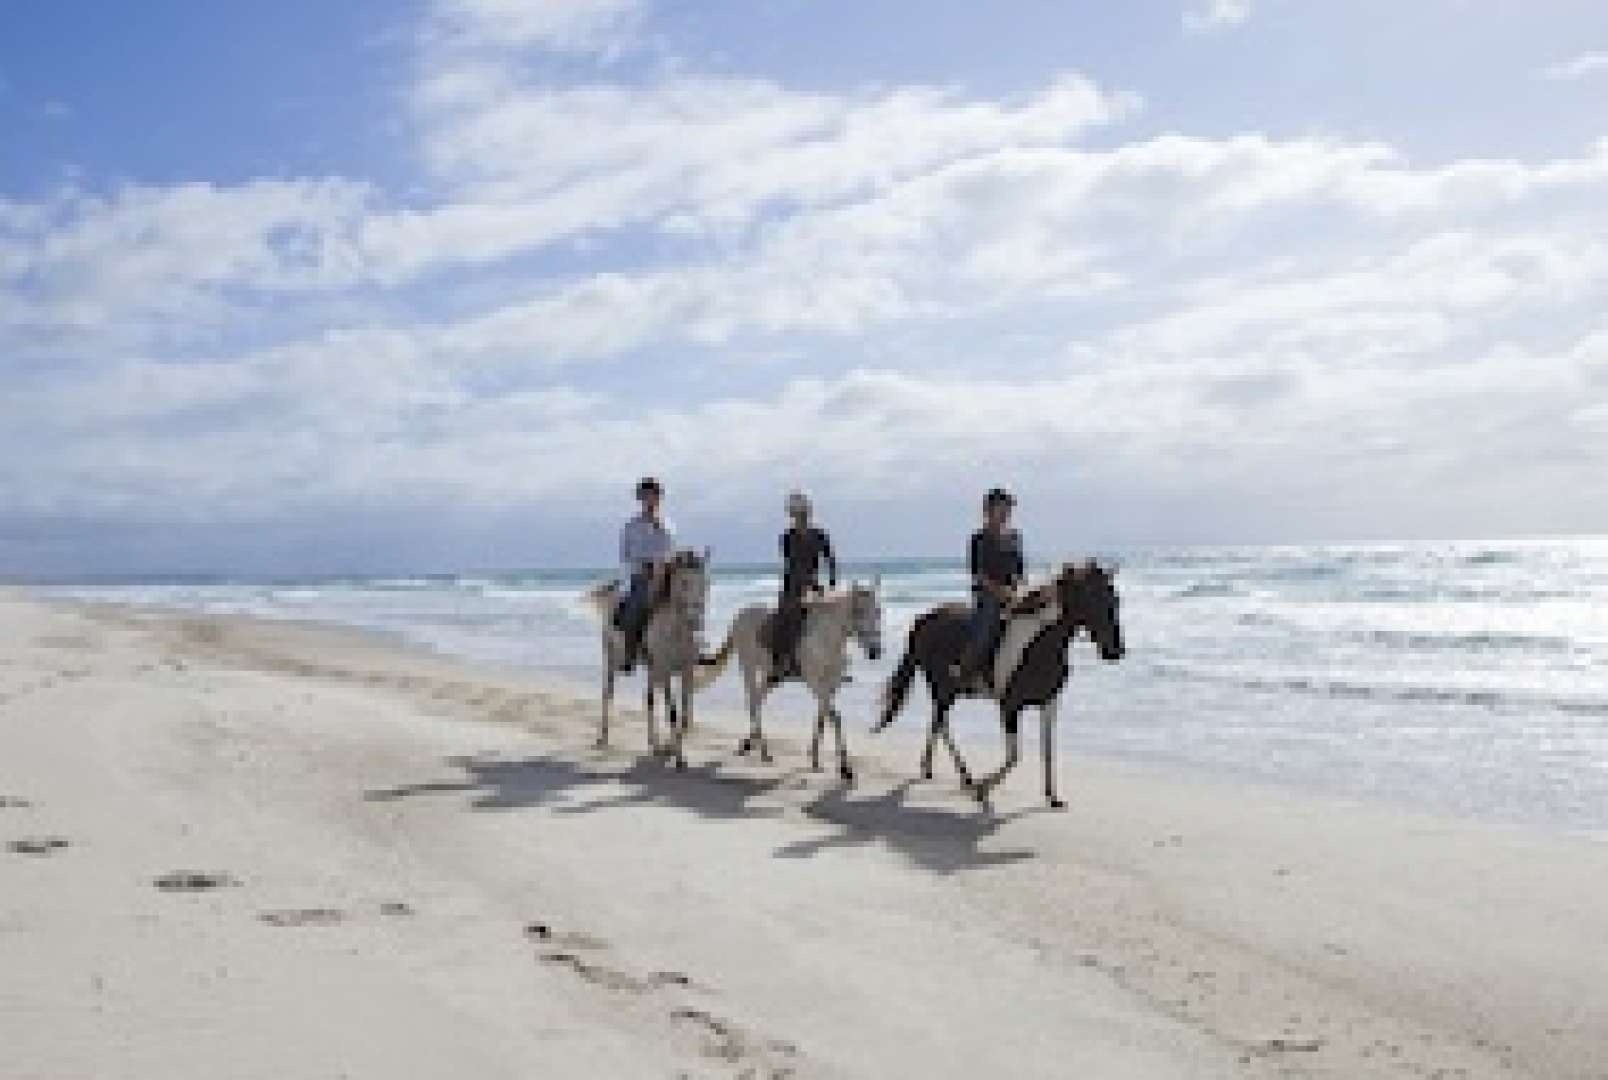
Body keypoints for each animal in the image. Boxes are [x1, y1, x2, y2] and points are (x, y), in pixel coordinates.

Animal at [585, 549, 710, 768]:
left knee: (649, 699)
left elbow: (686, 716)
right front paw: (678, 757)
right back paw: (603, 738)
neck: (675, 630)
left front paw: (671, 749)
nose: (696, 621)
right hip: (612, 659)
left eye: (706, 582)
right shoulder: (665, 670)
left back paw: (655, 745)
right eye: (684, 582)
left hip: (651, 668)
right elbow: (672, 712)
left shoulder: (686, 671)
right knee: (607, 693)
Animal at [701, 585, 887, 781]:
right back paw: (764, 751)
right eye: (859, 611)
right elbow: (835, 717)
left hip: (771, 676)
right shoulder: (815, 682)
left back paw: (749, 744)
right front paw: (845, 768)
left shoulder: (831, 684)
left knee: (758, 700)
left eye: (878, 611)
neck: (826, 638)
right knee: (752, 702)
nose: (875, 651)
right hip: (748, 667)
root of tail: (739, 616)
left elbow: (822, 716)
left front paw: (815, 758)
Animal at [874, 562, 1125, 806]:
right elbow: (1014, 755)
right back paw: (964, 776)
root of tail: (923, 619)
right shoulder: (1010, 706)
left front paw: (1052, 796)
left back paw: (938, 770)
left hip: (946, 689)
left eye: (1115, 600)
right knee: (941, 722)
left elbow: (1047, 750)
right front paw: (982, 790)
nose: (1115, 651)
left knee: (938, 721)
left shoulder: (1049, 702)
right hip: (944, 687)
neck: (1040, 644)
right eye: (1093, 598)